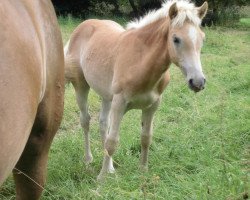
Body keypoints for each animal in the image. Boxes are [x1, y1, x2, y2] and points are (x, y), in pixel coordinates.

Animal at [64, 0, 207, 180]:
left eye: (202, 38)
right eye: (176, 39)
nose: (198, 81)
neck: (140, 61)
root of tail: (81, 27)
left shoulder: (152, 106)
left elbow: (146, 137)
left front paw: (143, 170)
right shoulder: (119, 103)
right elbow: (112, 141)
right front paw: (101, 179)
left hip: (106, 96)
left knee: (103, 124)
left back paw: (110, 167)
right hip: (81, 86)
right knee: (85, 121)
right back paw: (89, 160)